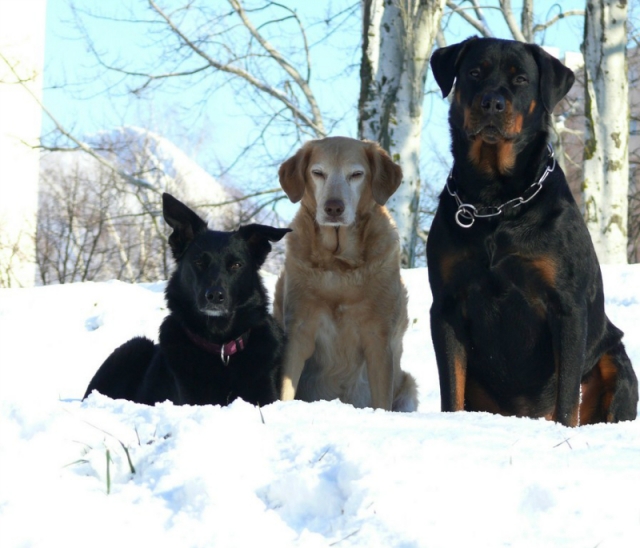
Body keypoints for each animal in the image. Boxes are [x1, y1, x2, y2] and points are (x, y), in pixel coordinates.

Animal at [272, 137, 418, 412]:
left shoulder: (379, 337)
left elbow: (382, 399)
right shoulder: (298, 329)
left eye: (356, 174)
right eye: (318, 172)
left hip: (408, 384)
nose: (333, 207)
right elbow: (285, 386)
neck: (338, 263)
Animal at [428, 37, 636, 428]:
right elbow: (452, 388)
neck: (495, 201)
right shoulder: (447, 303)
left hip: (615, 361)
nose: (492, 102)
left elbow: (567, 396)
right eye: (474, 72)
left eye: (521, 79)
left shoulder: (567, 307)